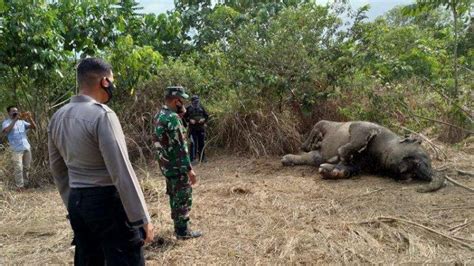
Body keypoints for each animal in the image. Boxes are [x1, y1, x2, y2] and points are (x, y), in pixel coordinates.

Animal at [284, 119, 446, 192]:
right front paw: (339, 158)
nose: (404, 172)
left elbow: (350, 168)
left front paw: (332, 170)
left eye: (413, 172)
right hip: (326, 124)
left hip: (317, 150)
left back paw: (289, 158)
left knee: (310, 156)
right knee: (315, 130)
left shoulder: (363, 164)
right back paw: (309, 144)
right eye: (416, 162)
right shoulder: (362, 127)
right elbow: (354, 142)